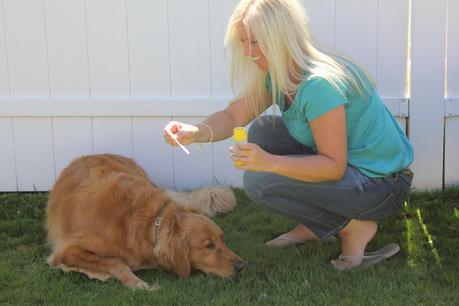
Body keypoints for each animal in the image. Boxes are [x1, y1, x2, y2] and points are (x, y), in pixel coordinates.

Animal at [46, 153, 246, 290]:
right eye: (209, 246)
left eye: (222, 239)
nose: (242, 265)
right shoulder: (67, 250)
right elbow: (116, 262)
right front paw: (138, 283)